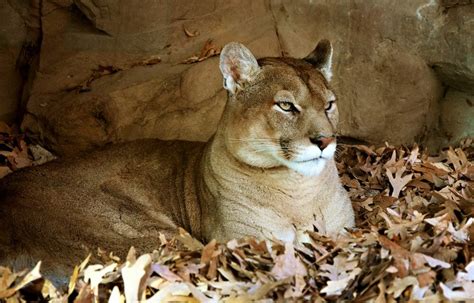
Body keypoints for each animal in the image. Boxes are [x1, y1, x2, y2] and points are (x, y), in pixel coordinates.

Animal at [0, 40, 356, 280]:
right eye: (285, 106)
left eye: (329, 104)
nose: (325, 140)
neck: (298, 191)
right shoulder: (245, 242)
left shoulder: (344, 232)